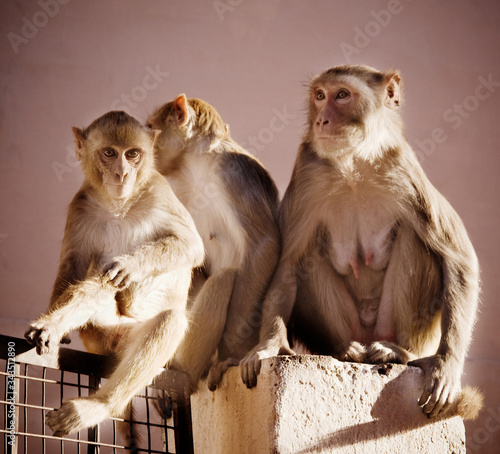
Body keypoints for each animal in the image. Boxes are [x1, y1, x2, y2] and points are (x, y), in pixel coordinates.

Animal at [23, 110, 212, 436]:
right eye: (109, 153)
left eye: (132, 154)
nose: (122, 174)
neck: (120, 204)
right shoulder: (81, 205)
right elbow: (73, 269)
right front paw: (52, 323)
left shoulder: (160, 191)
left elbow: (191, 246)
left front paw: (131, 265)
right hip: (101, 333)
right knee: (99, 290)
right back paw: (58, 325)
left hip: (129, 335)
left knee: (167, 320)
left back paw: (100, 406)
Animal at [147, 96, 282, 390]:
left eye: (151, 127)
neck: (198, 166)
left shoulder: (234, 172)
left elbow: (264, 245)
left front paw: (233, 351)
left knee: (225, 277)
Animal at [240, 65, 482, 420]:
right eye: (320, 96)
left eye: (342, 95)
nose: (321, 120)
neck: (354, 163)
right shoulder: (308, 173)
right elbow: (287, 262)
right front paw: (268, 346)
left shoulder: (404, 171)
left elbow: (458, 258)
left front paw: (446, 366)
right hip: (348, 327)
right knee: (308, 257)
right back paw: (345, 349)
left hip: (398, 327)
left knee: (415, 239)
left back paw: (397, 352)